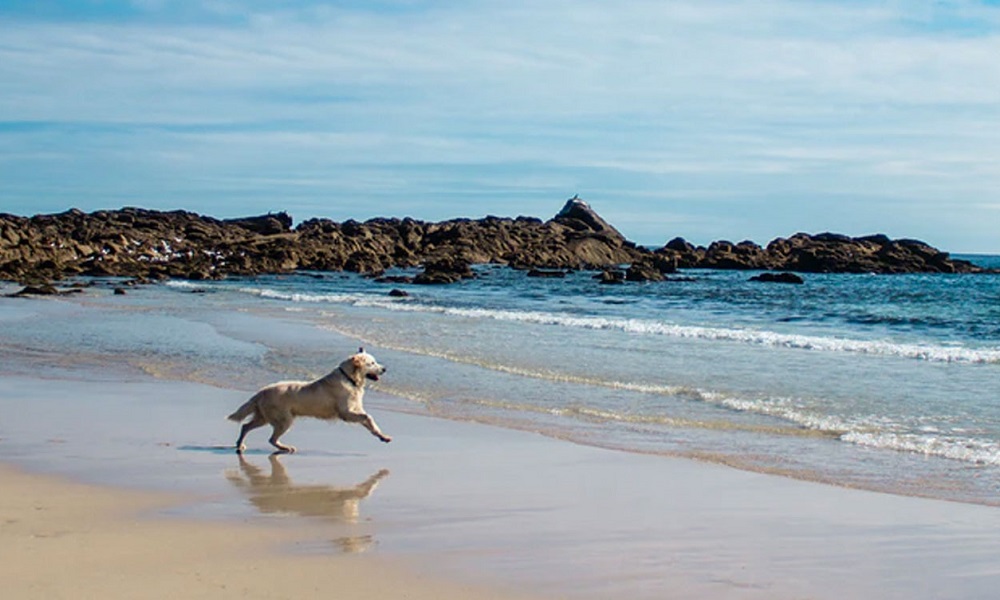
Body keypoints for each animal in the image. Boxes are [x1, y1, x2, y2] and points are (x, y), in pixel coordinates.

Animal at [228, 350, 390, 452]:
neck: (349, 378)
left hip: (264, 417)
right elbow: (368, 417)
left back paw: (240, 445)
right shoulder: (345, 413)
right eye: (372, 363)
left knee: (245, 426)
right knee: (271, 439)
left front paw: (382, 436)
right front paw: (382, 435)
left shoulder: (355, 410)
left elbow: (369, 422)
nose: (385, 369)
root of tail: (261, 392)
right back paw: (286, 448)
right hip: (283, 420)